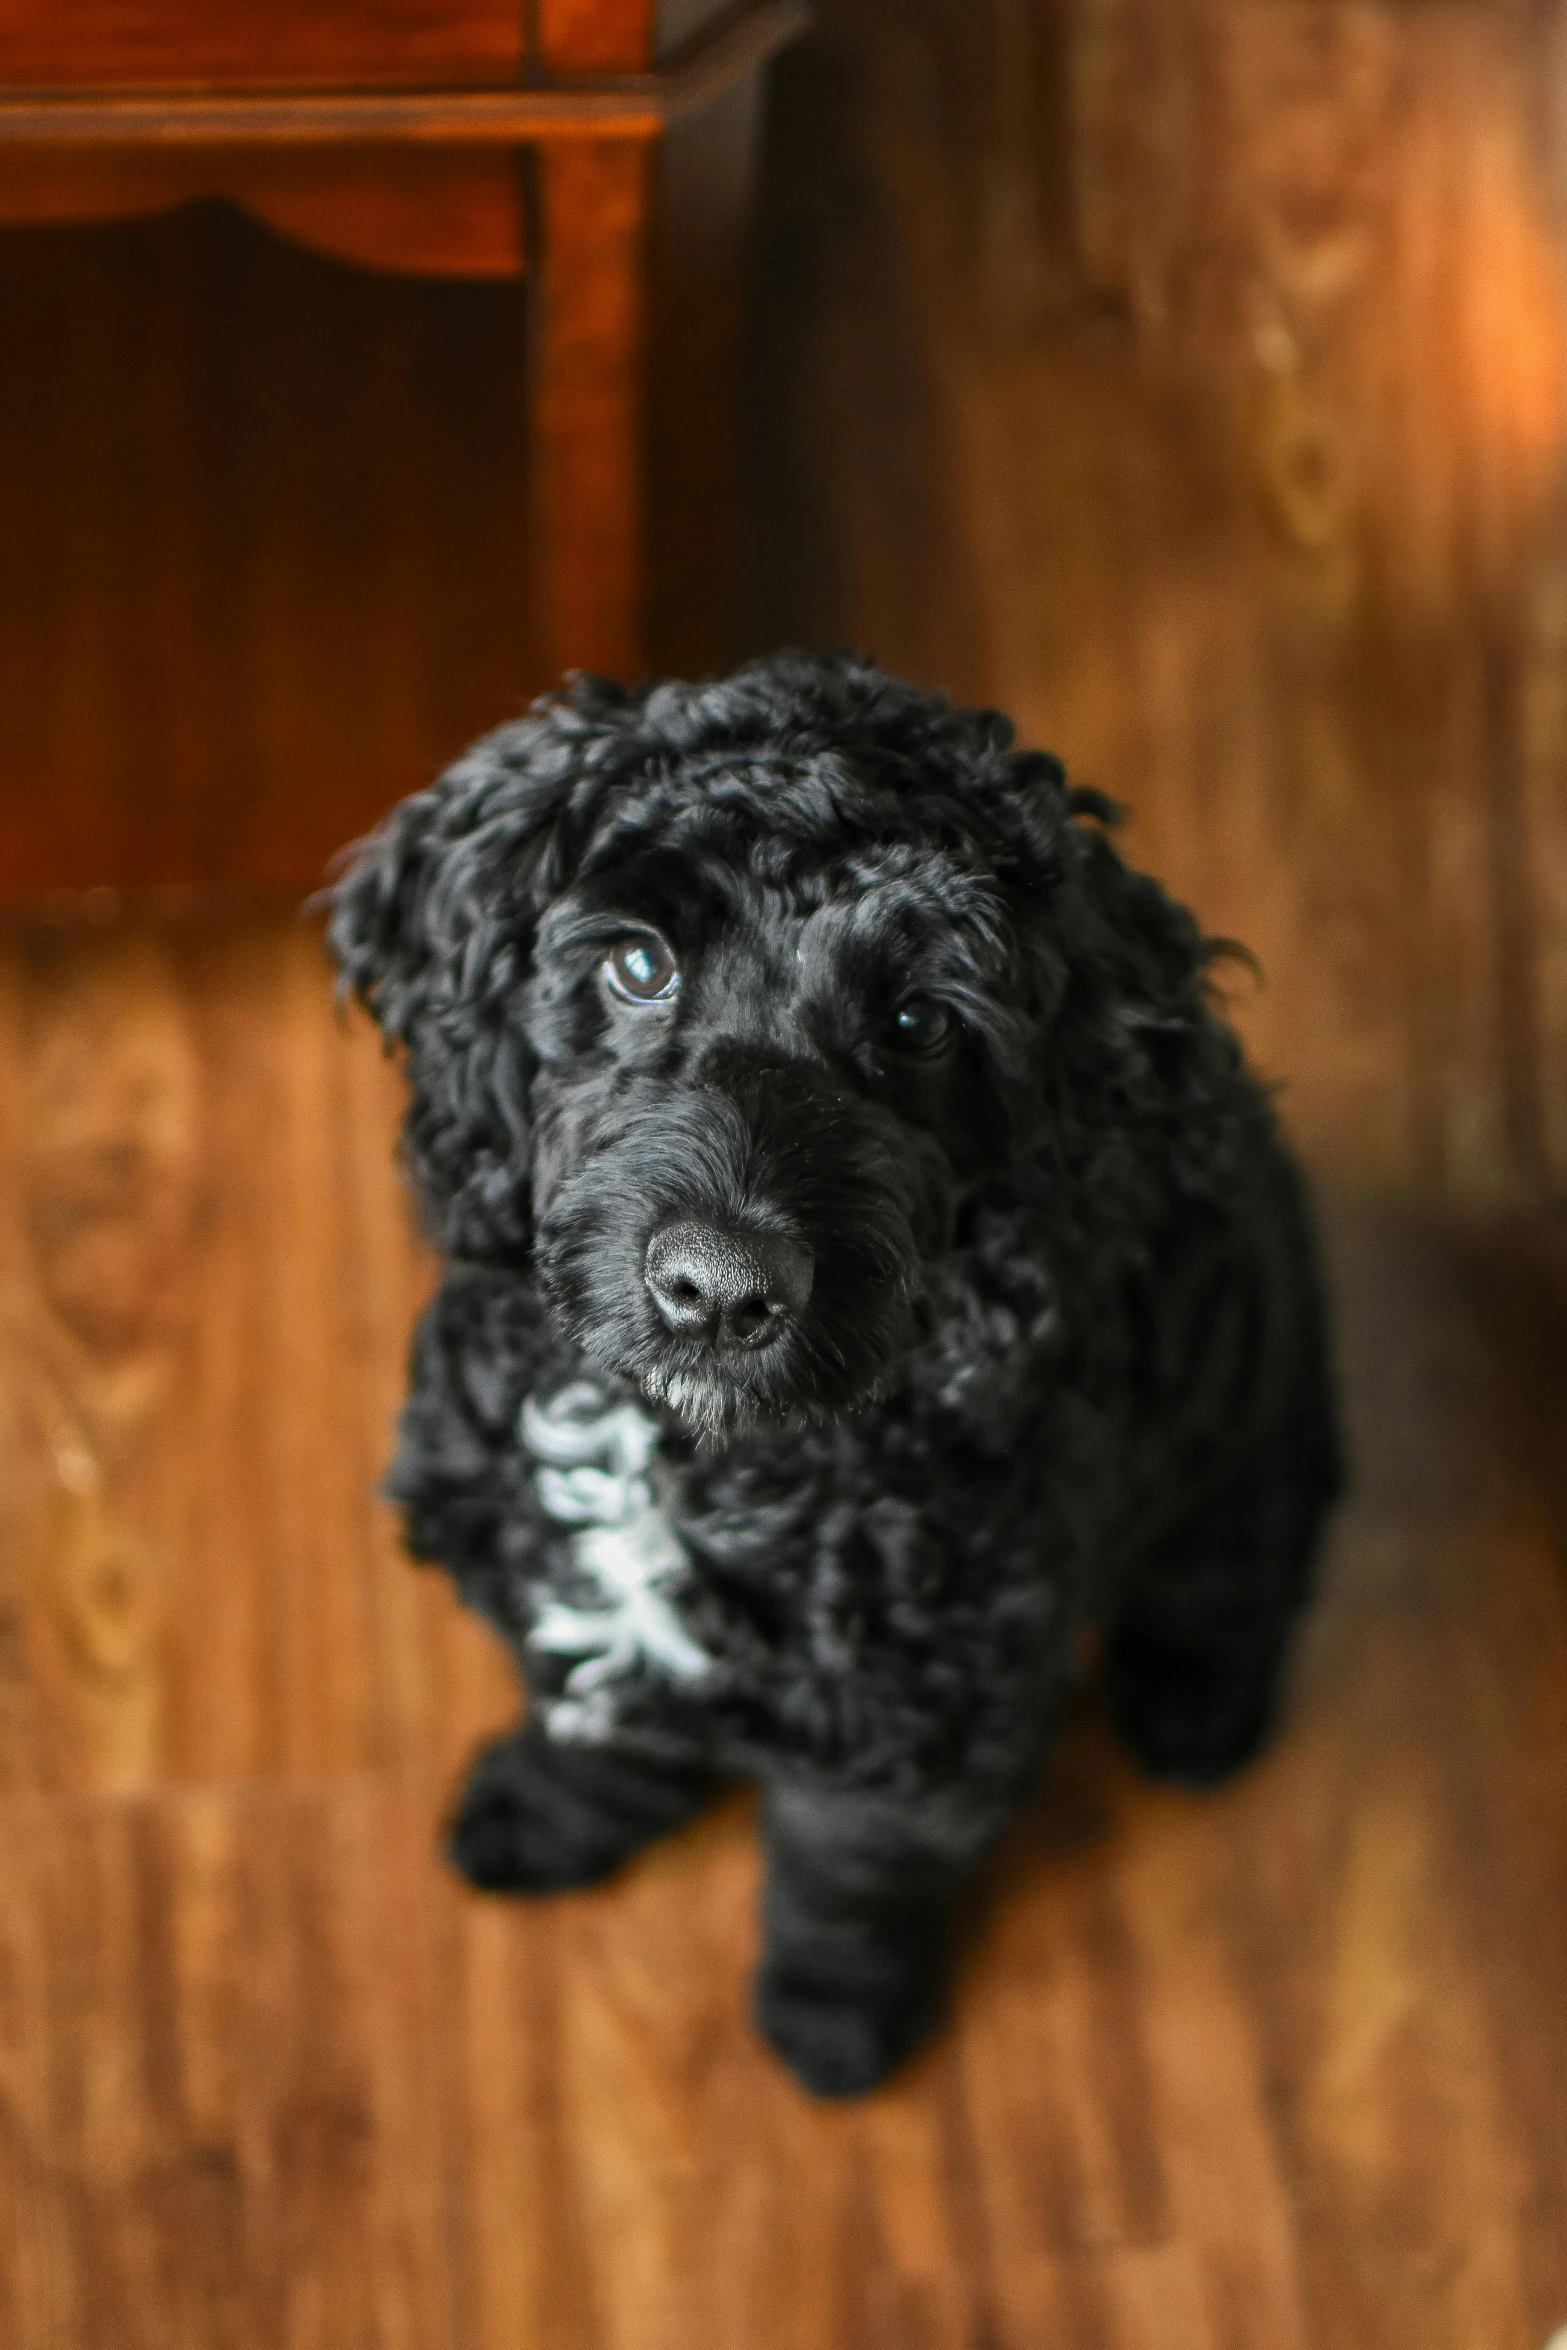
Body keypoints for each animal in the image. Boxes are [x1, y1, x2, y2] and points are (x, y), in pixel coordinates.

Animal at [328, 658, 1334, 2096]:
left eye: (918, 1021)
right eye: (637, 962)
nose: (720, 1289)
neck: (691, 1463)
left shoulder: (924, 1724)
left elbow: (849, 1878)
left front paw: (830, 2018)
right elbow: (600, 1721)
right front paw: (551, 1806)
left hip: (1250, 1424)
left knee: (1239, 1573)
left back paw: (1195, 1707)